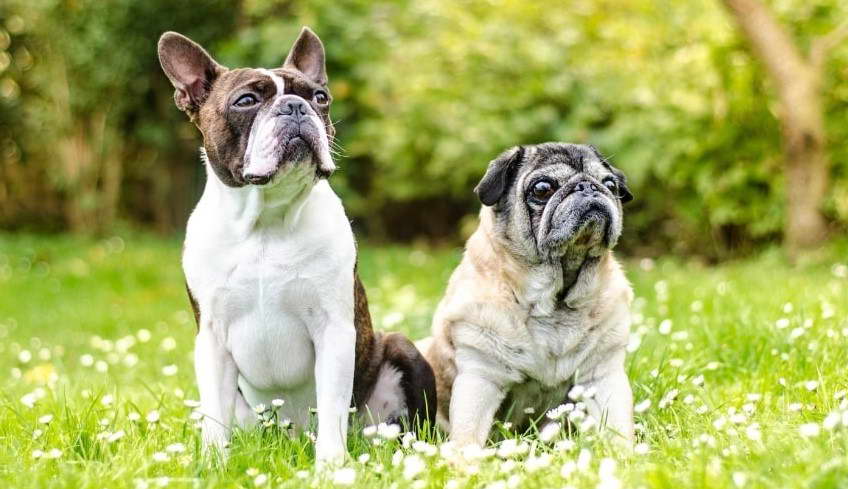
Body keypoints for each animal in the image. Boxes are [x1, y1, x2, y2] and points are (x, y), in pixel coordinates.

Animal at [158, 28, 434, 464]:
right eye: (246, 101)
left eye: (319, 97)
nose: (295, 107)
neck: (266, 223)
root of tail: (293, 435)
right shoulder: (213, 339)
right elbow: (214, 414)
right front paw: (214, 463)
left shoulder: (333, 329)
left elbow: (333, 406)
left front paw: (330, 465)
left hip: (401, 350)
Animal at [420, 141, 632, 446]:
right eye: (542, 189)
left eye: (610, 184)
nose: (587, 186)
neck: (555, 301)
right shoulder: (480, 376)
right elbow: (468, 435)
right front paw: (464, 459)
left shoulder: (602, 376)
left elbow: (618, 426)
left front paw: (627, 453)